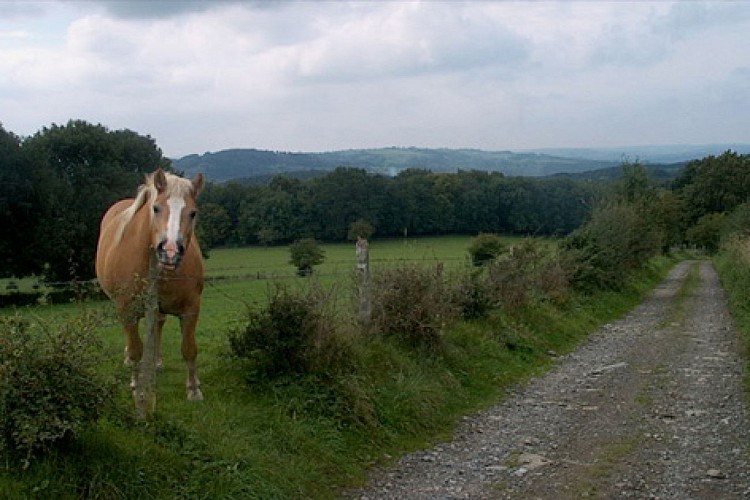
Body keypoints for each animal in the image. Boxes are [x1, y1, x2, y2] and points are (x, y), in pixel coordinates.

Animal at [98, 169, 209, 402]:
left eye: (193, 213)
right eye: (156, 208)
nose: (170, 251)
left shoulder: (190, 308)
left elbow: (189, 348)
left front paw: (194, 389)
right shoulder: (127, 309)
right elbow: (135, 350)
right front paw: (137, 386)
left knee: (157, 326)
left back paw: (156, 362)